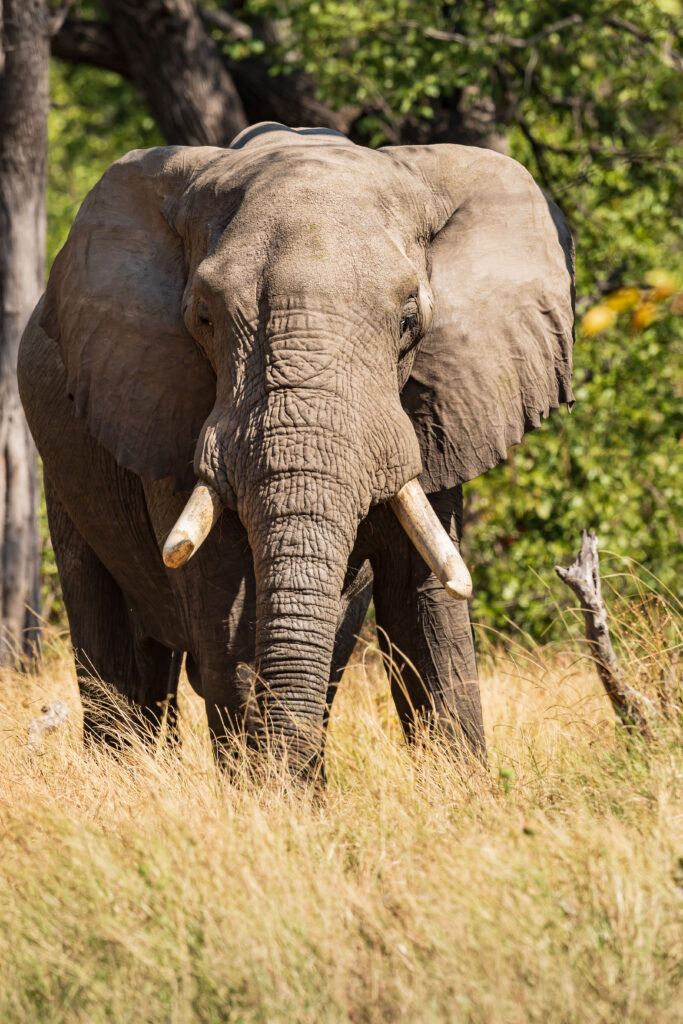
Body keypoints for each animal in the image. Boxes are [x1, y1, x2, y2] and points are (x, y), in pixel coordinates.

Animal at [18, 121, 574, 777]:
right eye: (203, 319)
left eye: (409, 322)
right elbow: (222, 605)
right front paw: (269, 795)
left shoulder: (435, 407)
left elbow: (430, 607)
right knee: (111, 642)